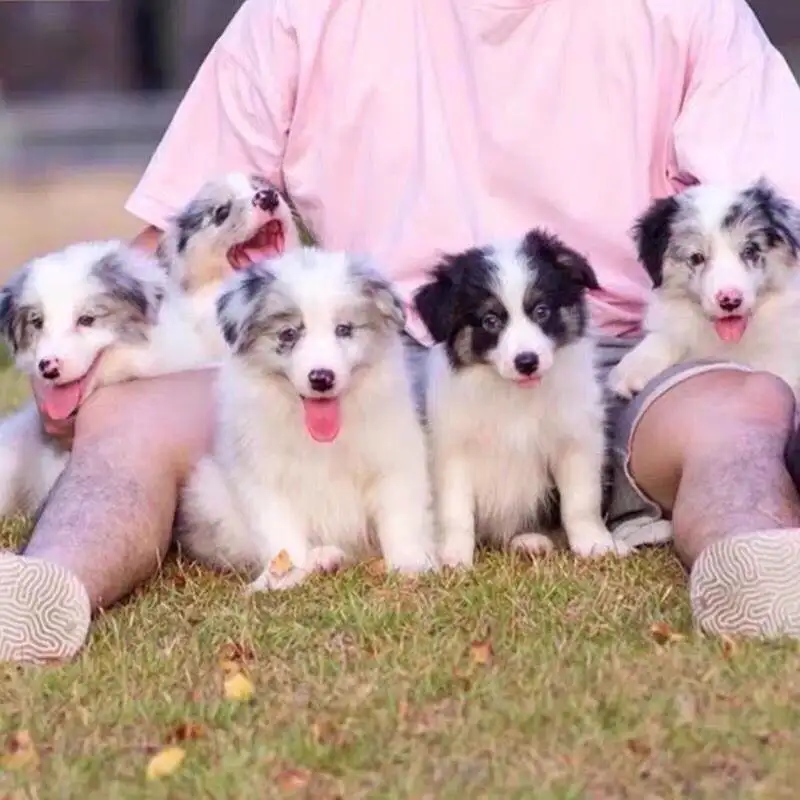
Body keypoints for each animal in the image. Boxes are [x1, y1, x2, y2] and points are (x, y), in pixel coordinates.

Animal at [179, 247, 438, 592]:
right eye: (288, 334)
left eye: (344, 329)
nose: (321, 378)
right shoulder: (262, 477)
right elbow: (280, 533)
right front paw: (285, 577)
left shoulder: (396, 458)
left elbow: (401, 517)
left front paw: (410, 565)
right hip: (207, 491)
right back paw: (321, 559)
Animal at [412, 228, 632, 564]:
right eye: (490, 320)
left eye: (541, 311)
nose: (527, 362)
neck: (515, 396)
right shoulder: (451, 450)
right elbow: (456, 511)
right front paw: (454, 556)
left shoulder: (576, 440)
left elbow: (581, 501)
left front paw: (595, 544)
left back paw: (531, 540)